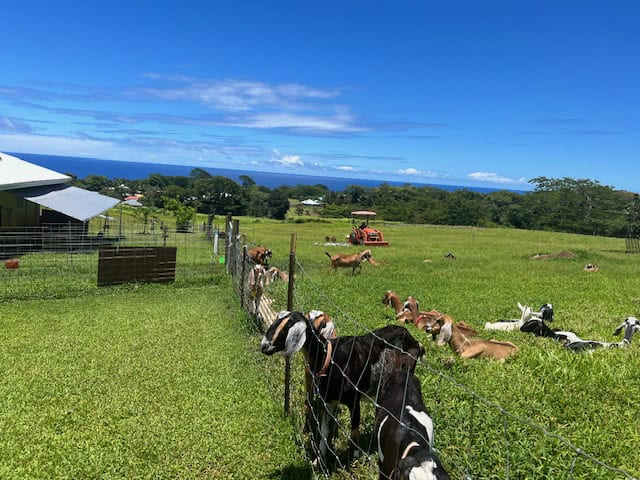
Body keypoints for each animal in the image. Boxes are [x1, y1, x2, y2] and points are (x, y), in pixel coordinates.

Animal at [260, 312, 424, 464]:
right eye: (277, 320)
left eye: (287, 327)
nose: (264, 346)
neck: (328, 358)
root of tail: (415, 341)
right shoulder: (329, 400)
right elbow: (324, 430)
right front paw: (319, 460)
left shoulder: (354, 401)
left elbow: (354, 430)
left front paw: (354, 459)